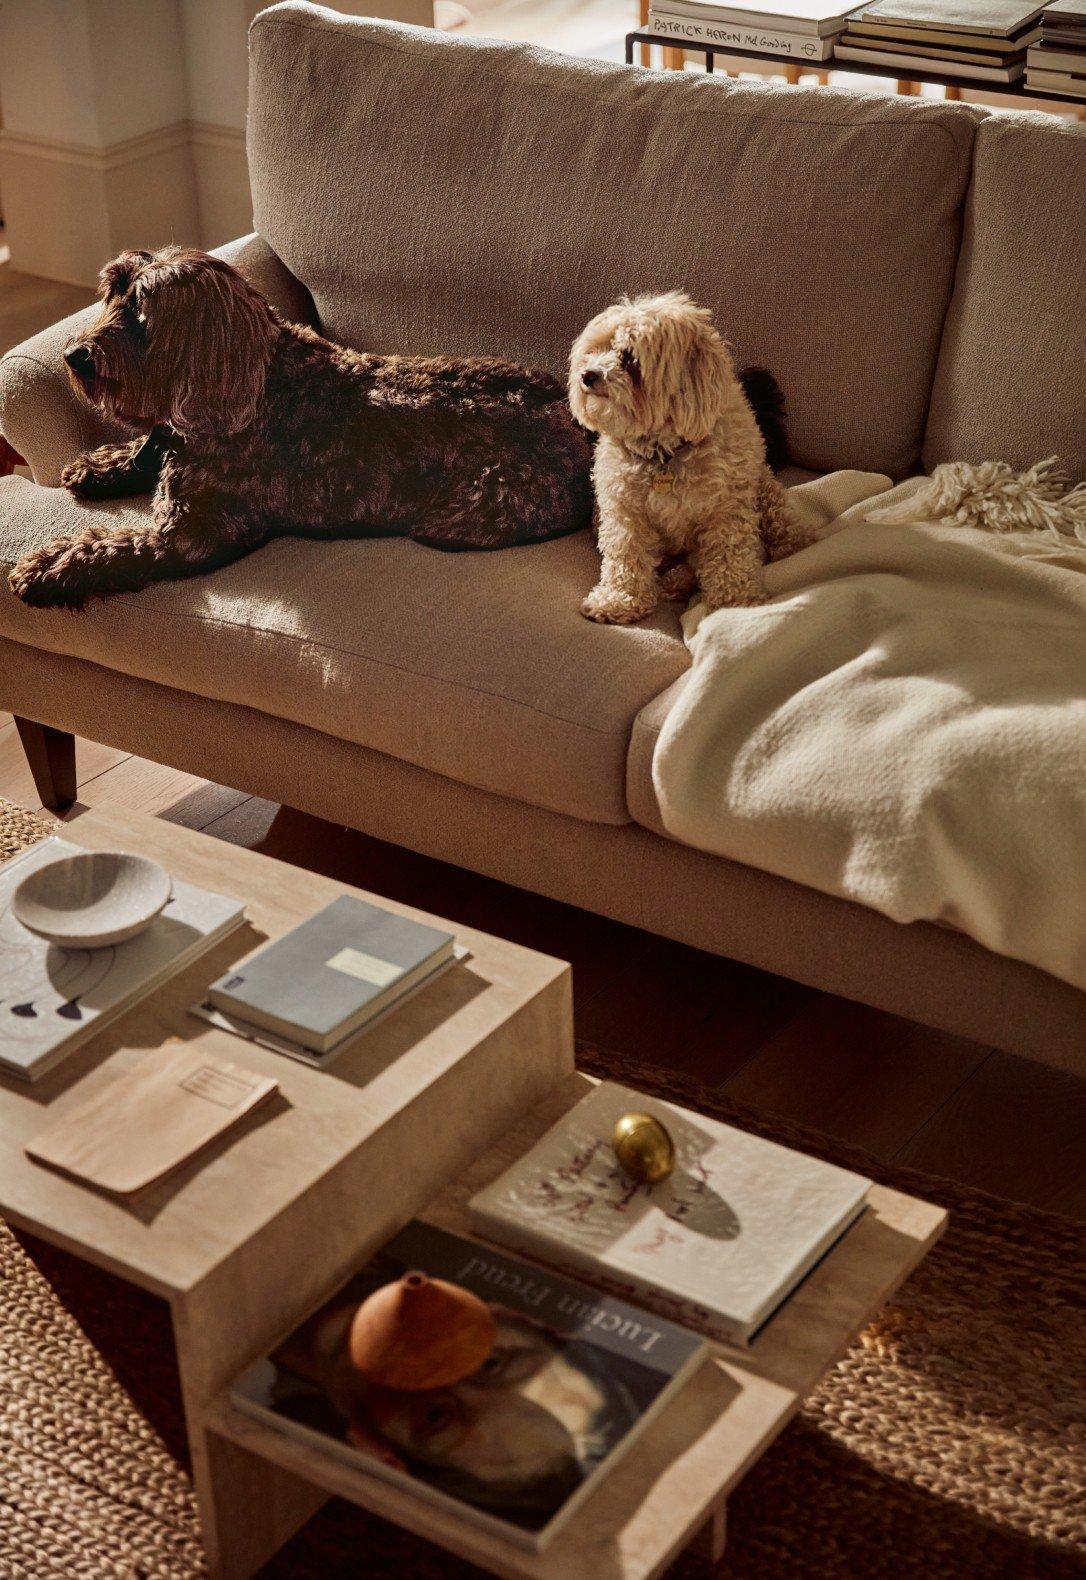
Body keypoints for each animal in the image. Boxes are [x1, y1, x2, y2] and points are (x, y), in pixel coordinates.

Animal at [8, 248, 594, 609]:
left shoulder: (189, 536)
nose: (73, 355)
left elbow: (109, 548)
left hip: (480, 505)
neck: (256, 382)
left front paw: (49, 564)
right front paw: (102, 463)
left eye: (142, 316)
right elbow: (141, 451)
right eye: (111, 295)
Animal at [569, 293, 806, 619]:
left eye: (629, 358)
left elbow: (729, 557)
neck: (665, 453)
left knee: (781, 530)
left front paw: (736, 603)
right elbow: (626, 557)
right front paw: (619, 599)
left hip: (768, 494)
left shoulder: (726, 510)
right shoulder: (624, 510)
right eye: (594, 351)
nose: (587, 375)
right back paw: (677, 580)